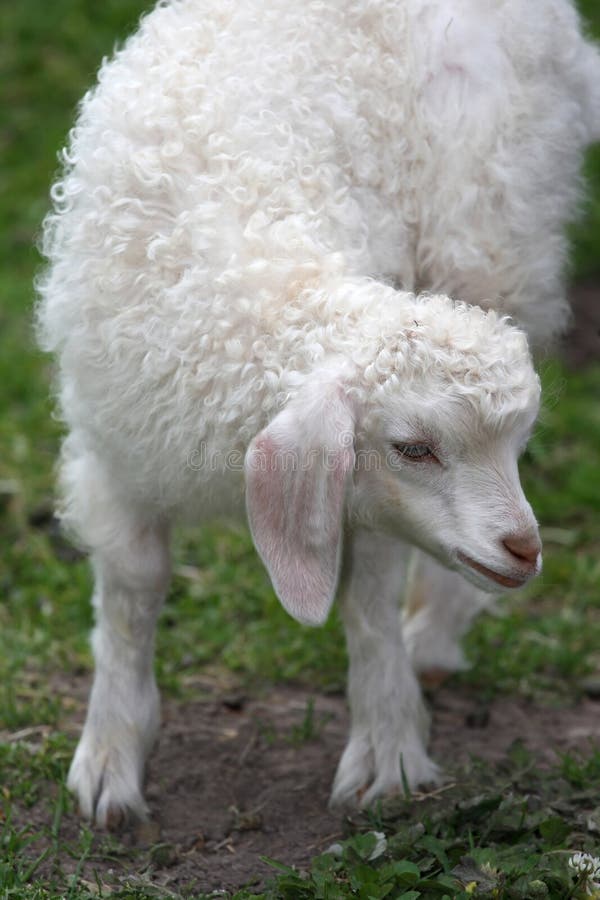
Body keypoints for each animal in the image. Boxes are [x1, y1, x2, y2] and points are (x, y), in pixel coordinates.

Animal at [36, 0, 599, 825]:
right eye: (414, 447)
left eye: (515, 441)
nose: (525, 549)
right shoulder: (115, 447)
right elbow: (134, 593)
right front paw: (110, 759)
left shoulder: (368, 499)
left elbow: (368, 600)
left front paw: (388, 752)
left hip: (496, 233)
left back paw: (433, 635)